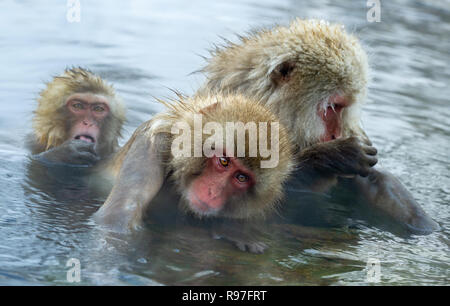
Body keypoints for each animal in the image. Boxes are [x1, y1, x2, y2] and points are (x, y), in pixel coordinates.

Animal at [94, 94, 296, 252]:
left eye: (241, 177)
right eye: (224, 161)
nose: (213, 192)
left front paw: (234, 232)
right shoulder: (153, 144)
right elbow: (116, 219)